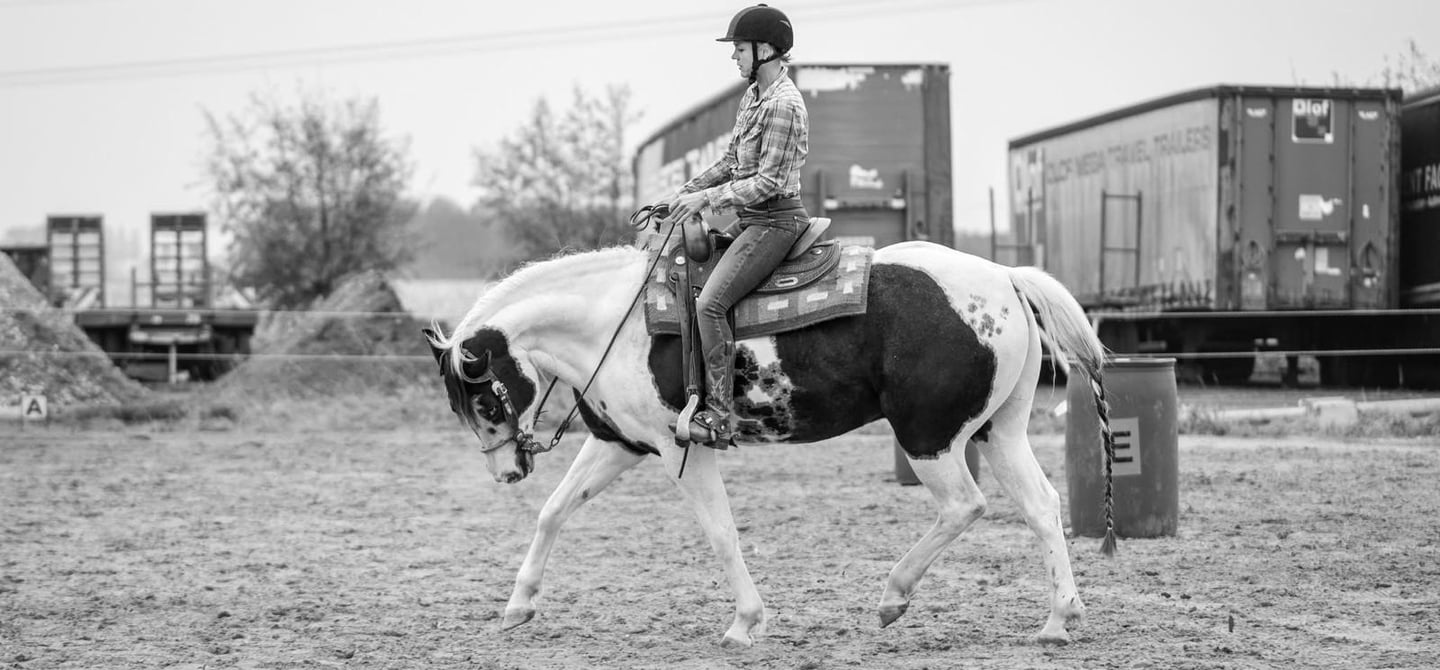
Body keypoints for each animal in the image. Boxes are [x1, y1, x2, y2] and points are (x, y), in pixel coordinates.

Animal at [422, 239, 1116, 648]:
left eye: (484, 401)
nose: (506, 472)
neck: (610, 322)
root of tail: (1004, 277)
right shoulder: (619, 444)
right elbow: (554, 512)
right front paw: (518, 605)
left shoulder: (683, 450)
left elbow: (722, 534)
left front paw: (744, 623)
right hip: (1000, 430)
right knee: (1041, 505)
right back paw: (1059, 619)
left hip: (930, 437)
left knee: (964, 505)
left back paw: (893, 596)